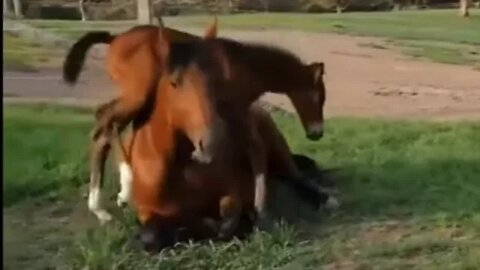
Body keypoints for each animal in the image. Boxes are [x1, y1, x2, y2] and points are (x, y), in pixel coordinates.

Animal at [62, 19, 220, 224]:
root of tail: (116, 38)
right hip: (138, 95)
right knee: (106, 120)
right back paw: (116, 195)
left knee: (113, 127)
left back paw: (108, 202)